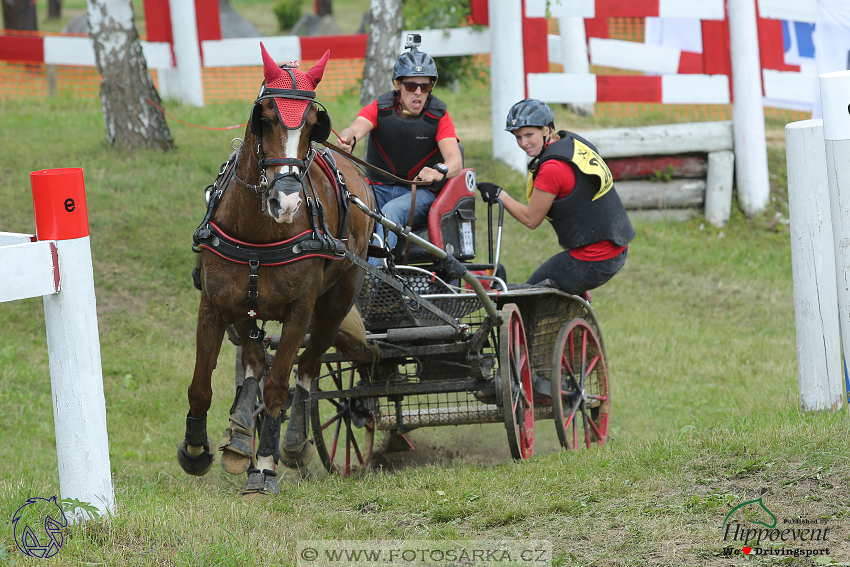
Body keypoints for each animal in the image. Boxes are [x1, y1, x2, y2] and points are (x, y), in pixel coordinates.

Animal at [177, 44, 372, 494]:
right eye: (264, 118)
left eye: (315, 125)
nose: (287, 202)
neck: (259, 232)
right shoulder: (215, 305)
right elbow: (201, 385)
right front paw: (196, 450)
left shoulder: (300, 311)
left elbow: (281, 385)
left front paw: (264, 465)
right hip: (246, 310)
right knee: (253, 363)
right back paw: (239, 436)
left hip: (334, 304)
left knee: (307, 369)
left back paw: (294, 442)